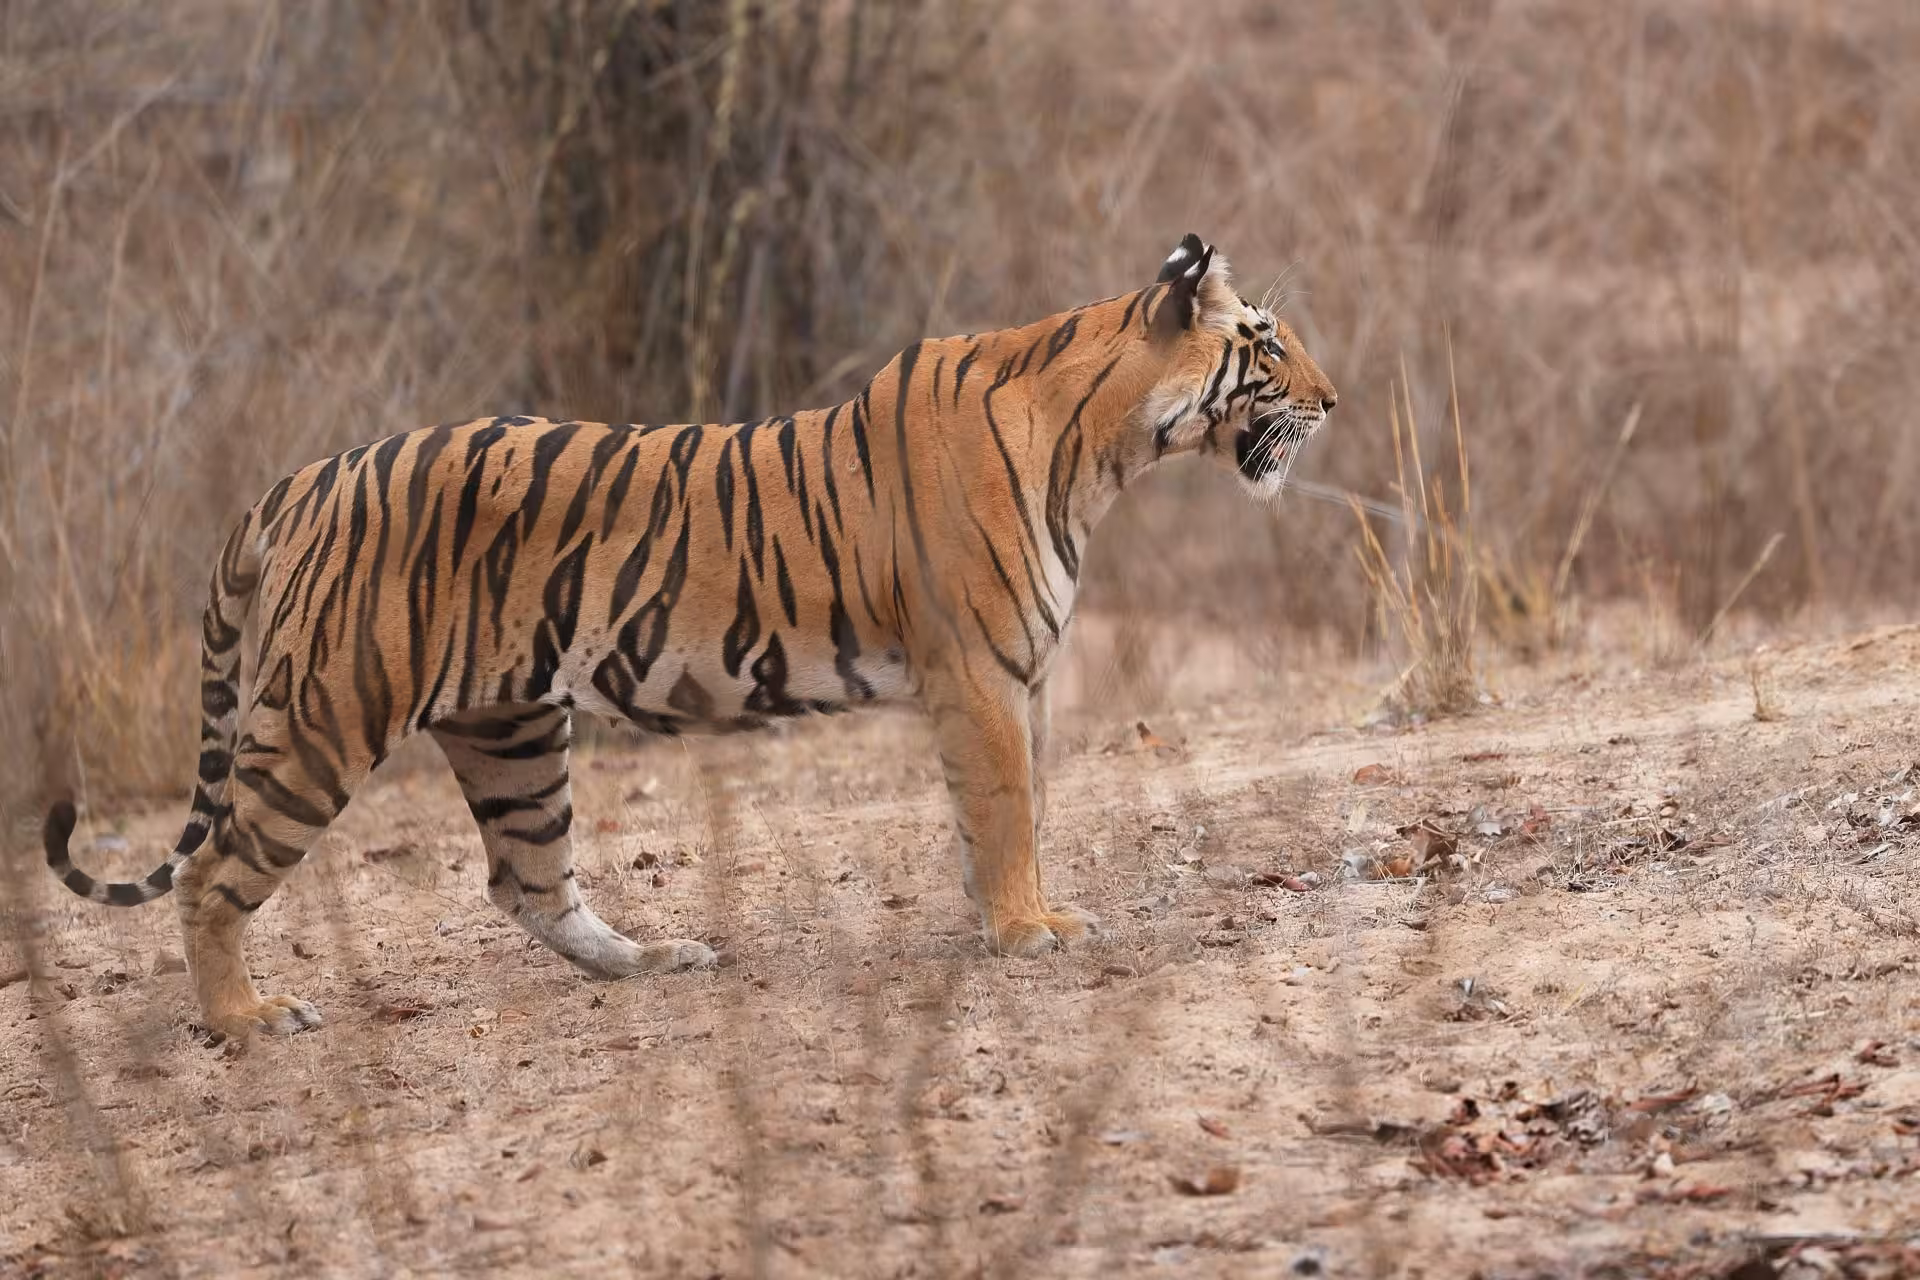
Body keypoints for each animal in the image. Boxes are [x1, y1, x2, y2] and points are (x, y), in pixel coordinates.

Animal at [44, 233, 1337, 1039]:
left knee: (527, 880)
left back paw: (657, 959)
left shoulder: (1021, 676)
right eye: (1267, 343)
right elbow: (1010, 806)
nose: (1334, 401)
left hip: (511, 729)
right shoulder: (978, 672)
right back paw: (246, 1020)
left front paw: (1017, 916)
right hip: (323, 718)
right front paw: (1028, 930)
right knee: (210, 870)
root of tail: (303, 476)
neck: (1104, 447)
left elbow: (1018, 809)